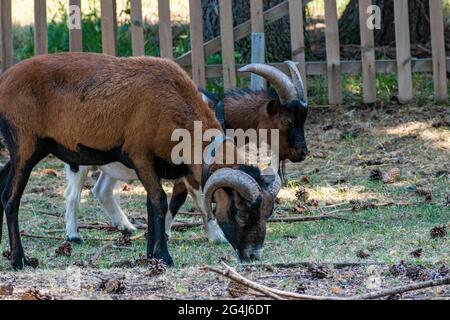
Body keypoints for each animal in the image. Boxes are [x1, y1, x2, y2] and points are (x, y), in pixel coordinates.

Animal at [0, 53, 282, 270]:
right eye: (242, 212)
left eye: (268, 212)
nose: (253, 255)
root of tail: (4, 80)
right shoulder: (140, 157)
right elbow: (159, 201)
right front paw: (165, 256)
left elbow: (151, 204)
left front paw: (151, 254)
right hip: (26, 148)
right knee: (11, 198)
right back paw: (19, 260)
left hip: (19, 154)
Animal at [61, 61, 308, 244]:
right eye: (286, 121)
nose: (302, 153)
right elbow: (198, 198)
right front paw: (217, 236)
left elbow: (177, 200)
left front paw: (166, 231)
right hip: (79, 160)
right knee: (73, 195)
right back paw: (73, 235)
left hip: (114, 165)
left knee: (101, 190)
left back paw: (127, 227)